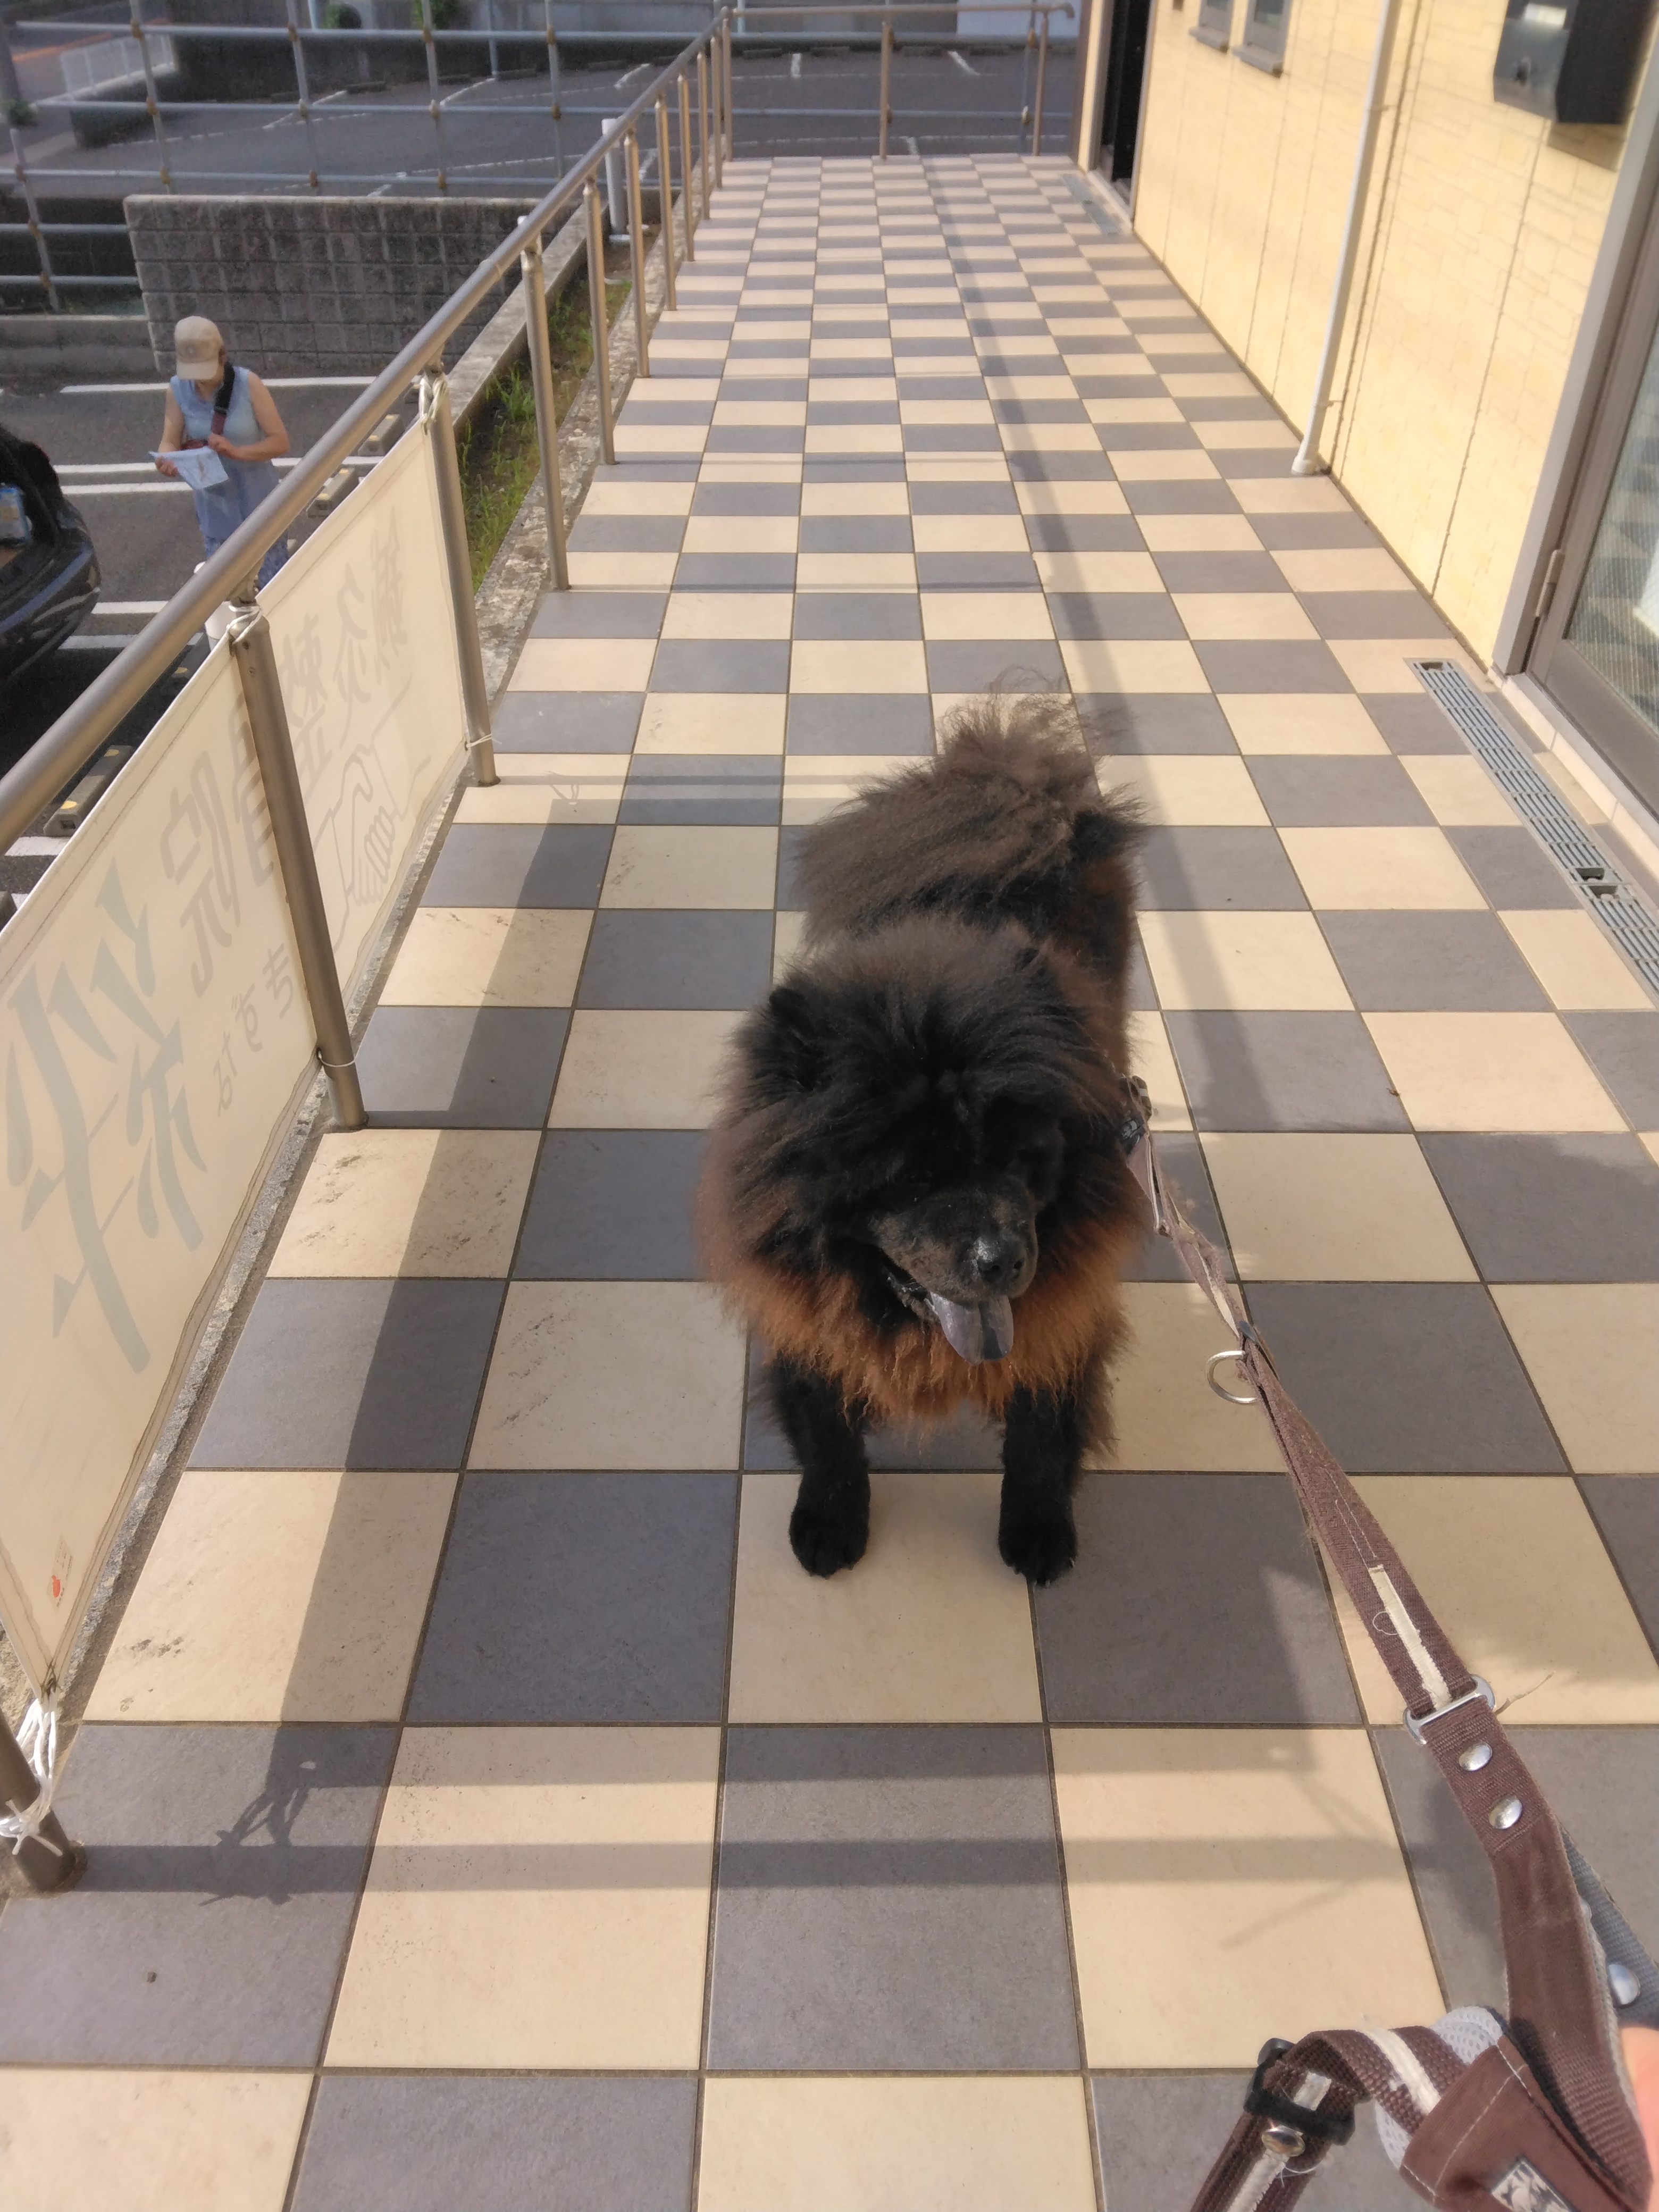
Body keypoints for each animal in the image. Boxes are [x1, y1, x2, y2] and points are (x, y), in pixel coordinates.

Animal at [697, 698, 1148, 1585]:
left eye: (1020, 1160)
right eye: (907, 1180)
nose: (1001, 1258)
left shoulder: (1066, 1312)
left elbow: (1040, 1435)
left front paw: (1038, 1536)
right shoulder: (803, 1317)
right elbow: (830, 1437)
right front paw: (829, 1528)